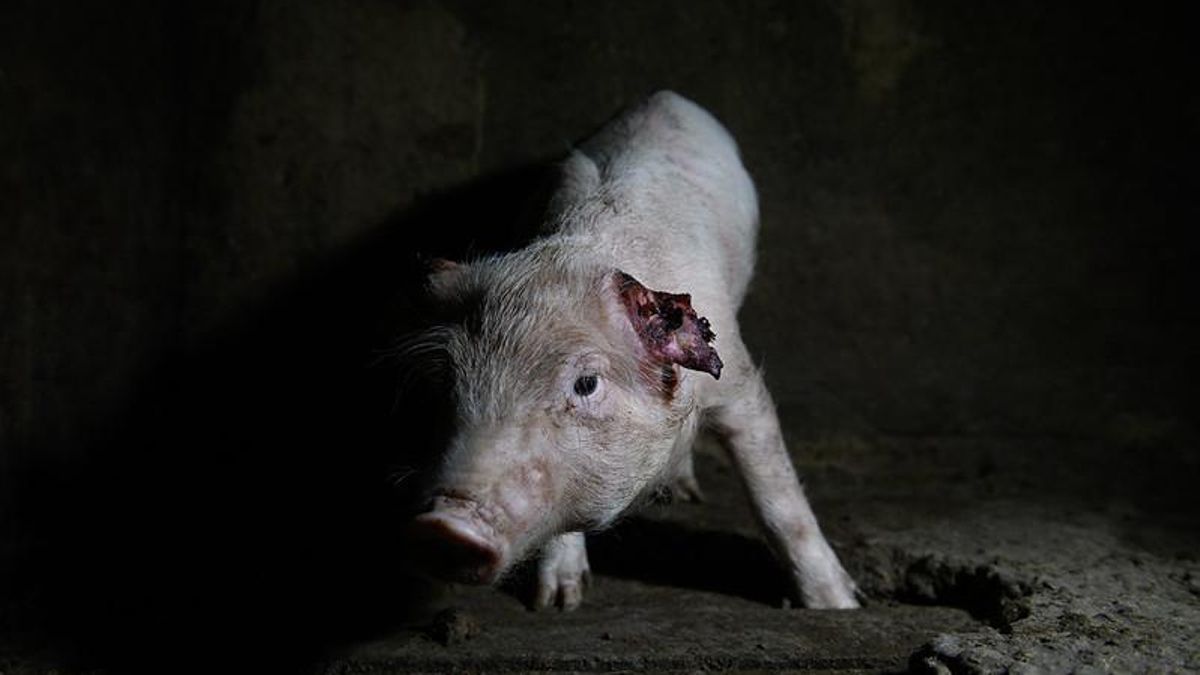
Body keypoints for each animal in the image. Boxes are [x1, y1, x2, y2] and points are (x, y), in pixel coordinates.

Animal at [403, 91, 859, 610]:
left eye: (586, 383)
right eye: (450, 381)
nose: (442, 528)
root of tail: (665, 96)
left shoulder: (740, 381)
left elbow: (778, 495)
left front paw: (839, 606)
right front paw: (558, 603)